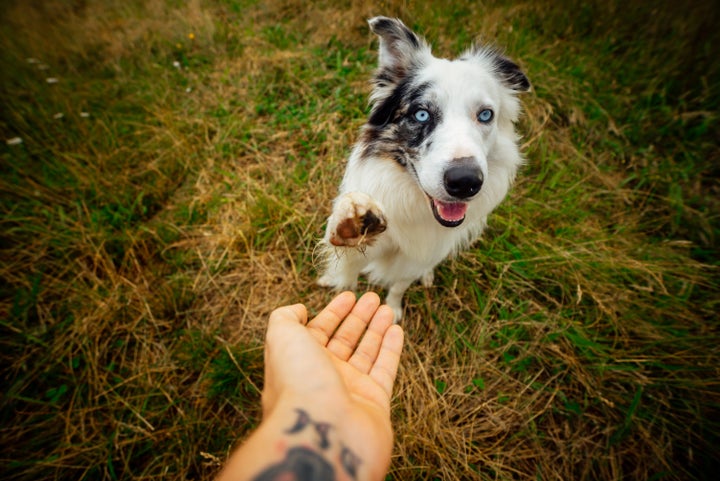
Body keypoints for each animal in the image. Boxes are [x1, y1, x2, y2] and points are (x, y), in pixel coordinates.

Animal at [318, 15, 532, 322]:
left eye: (485, 115)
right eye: (421, 114)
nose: (465, 182)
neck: (416, 204)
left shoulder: (420, 255)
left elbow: (400, 284)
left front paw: (393, 309)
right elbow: (344, 261)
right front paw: (351, 220)